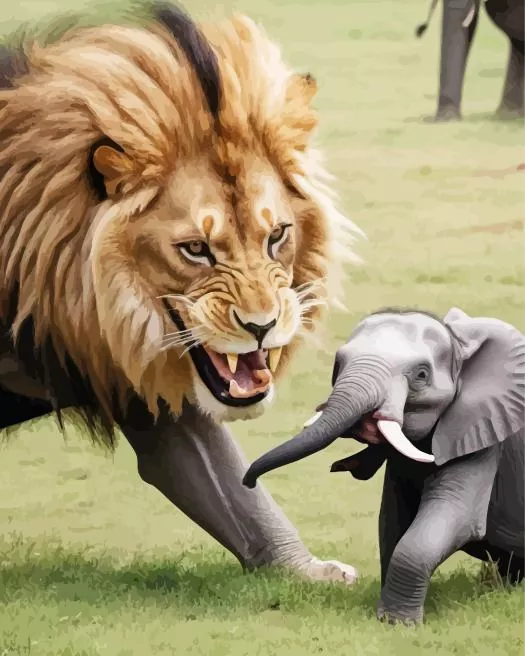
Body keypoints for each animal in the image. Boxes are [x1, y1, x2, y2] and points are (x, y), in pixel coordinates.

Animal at [0, 1, 363, 583]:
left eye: (276, 236)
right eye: (196, 249)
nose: (262, 326)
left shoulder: (145, 384)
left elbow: (235, 491)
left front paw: (309, 572)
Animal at [243, 307, 525, 624]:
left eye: (421, 375)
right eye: (338, 364)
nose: (248, 481)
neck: (457, 342)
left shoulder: (482, 435)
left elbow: (452, 518)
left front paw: (398, 623)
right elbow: (392, 521)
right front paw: (388, 617)